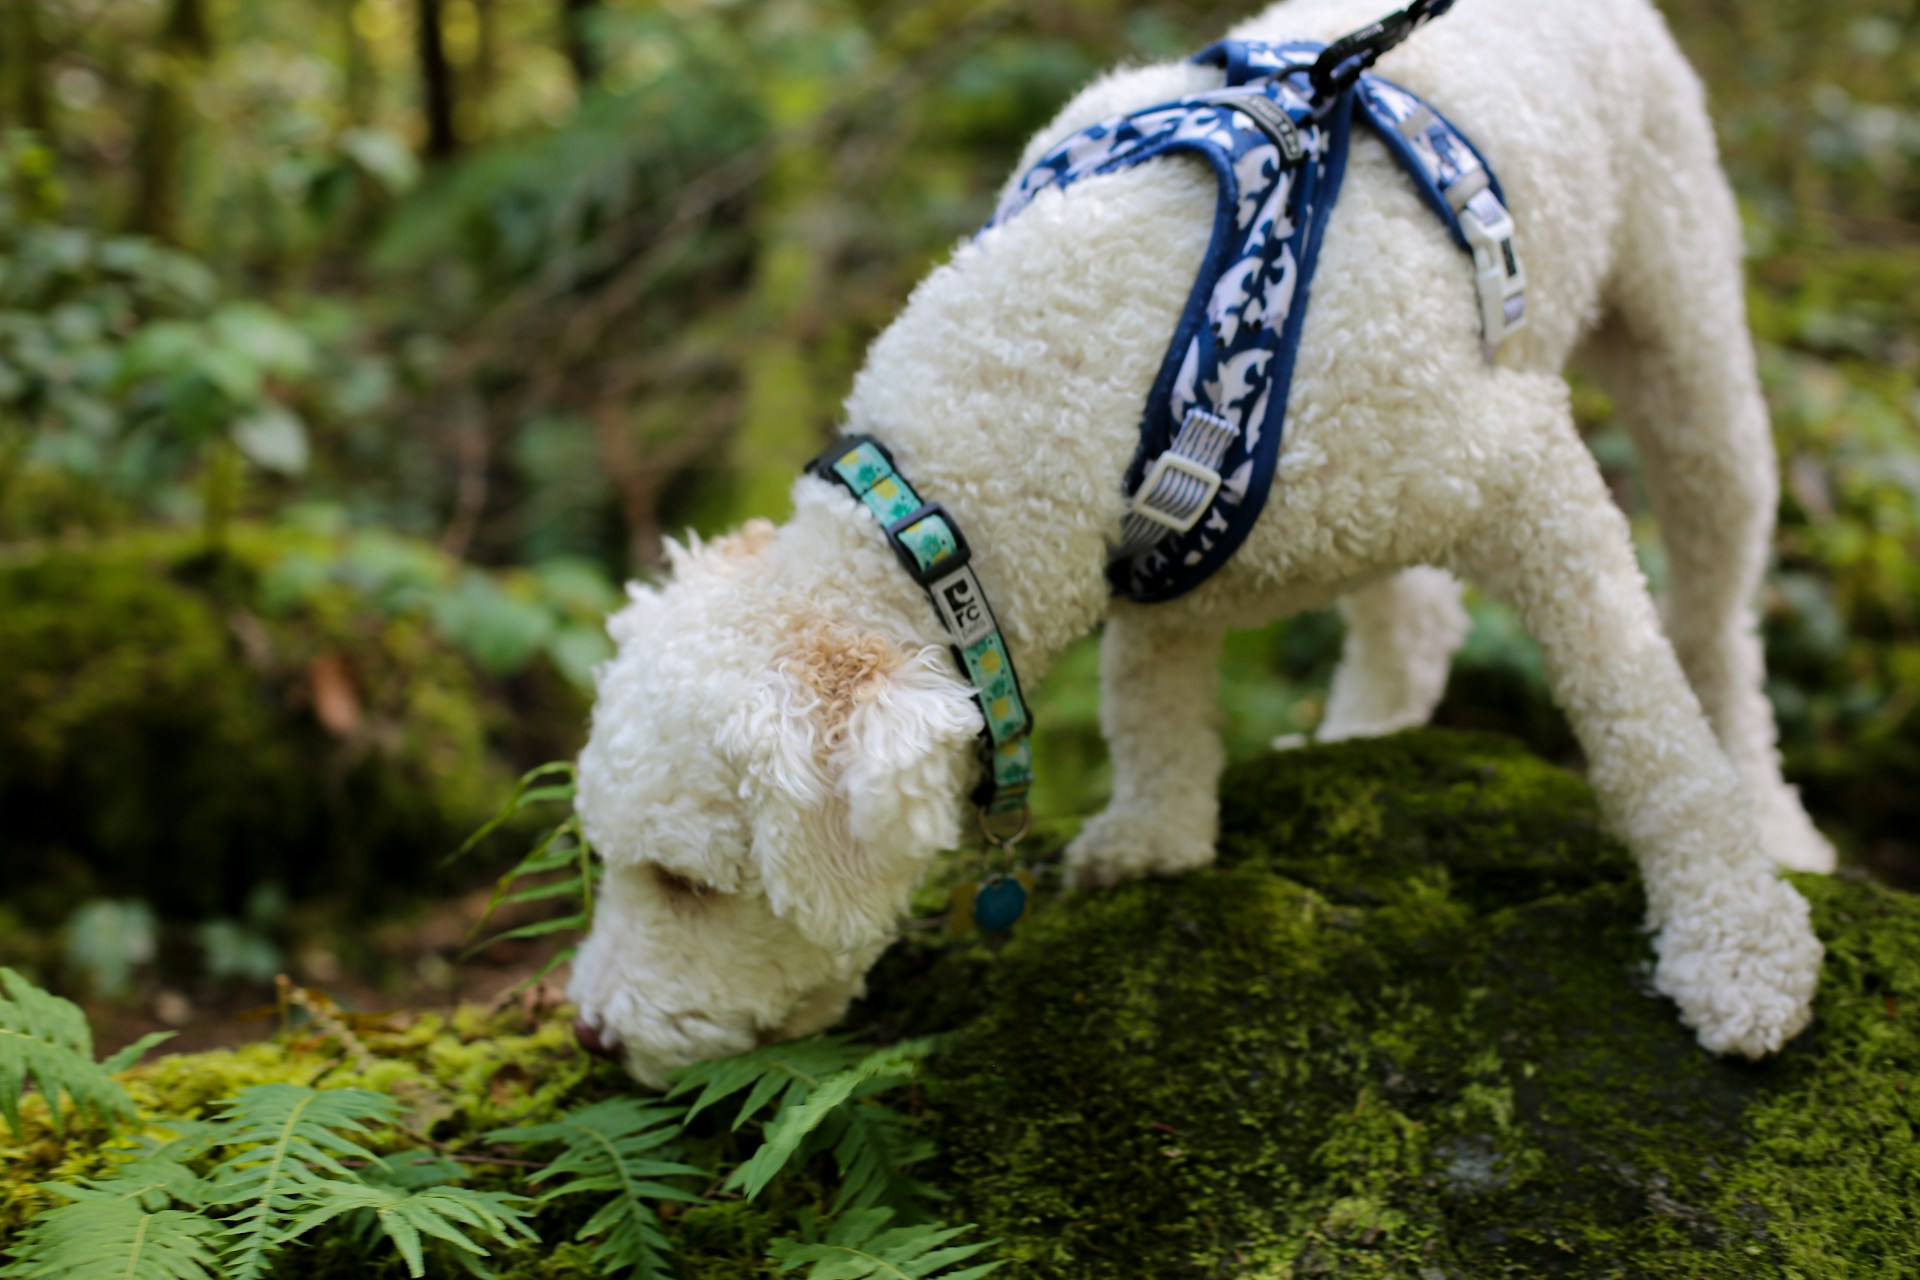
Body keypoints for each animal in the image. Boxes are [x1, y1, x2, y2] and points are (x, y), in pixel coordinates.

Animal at [564, 0, 1827, 1090]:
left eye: (687, 882)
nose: (588, 1033)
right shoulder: (1146, 556)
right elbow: (1147, 693)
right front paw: (1157, 830)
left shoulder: (1525, 475)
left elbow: (1645, 727)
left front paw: (1736, 939)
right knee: (1412, 615)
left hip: (1686, 339)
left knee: (1715, 619)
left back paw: (1774, 822)